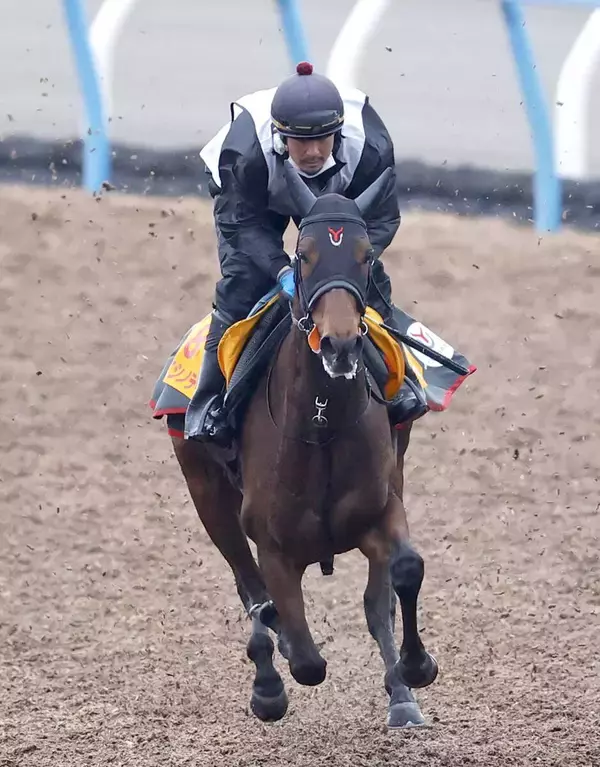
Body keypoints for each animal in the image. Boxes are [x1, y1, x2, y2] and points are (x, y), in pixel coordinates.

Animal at [170, 161, 438, 728]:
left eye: (366, 255)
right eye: (303, 255)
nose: (339, 344)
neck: (321, 428)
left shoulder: (382, 507)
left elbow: (402, 573)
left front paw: (415, 668)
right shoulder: (272, 545)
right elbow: (306, 658)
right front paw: (277, 676)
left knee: (372, 602)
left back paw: (400, 694)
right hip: (206, 491)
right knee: (253, 593)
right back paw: (267, 682)